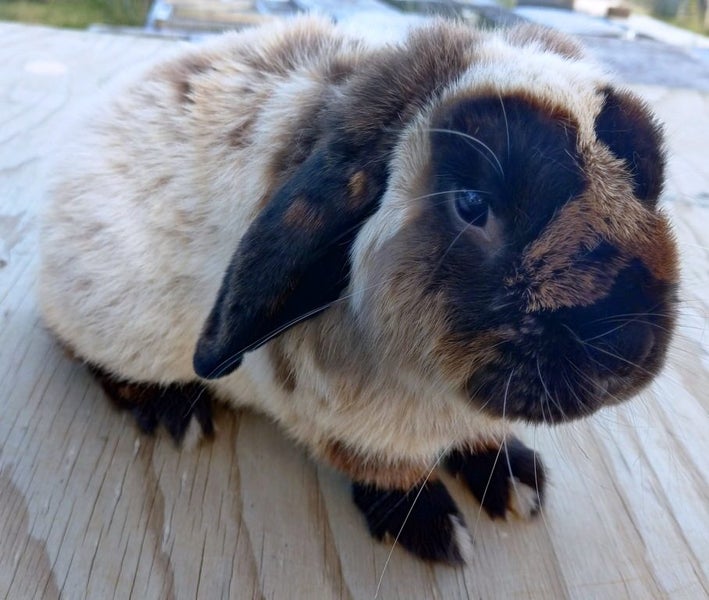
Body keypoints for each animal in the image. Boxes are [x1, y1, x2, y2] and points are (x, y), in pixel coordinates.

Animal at [39, 16, 679, 564]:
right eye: (472, 205)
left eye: (649, 180)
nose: (627, 351)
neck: (435, 389)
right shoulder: (344, 425)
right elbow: (388, 471)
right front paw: (430, 525)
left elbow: (482, 437)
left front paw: (513, 478)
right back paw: (176, 413)